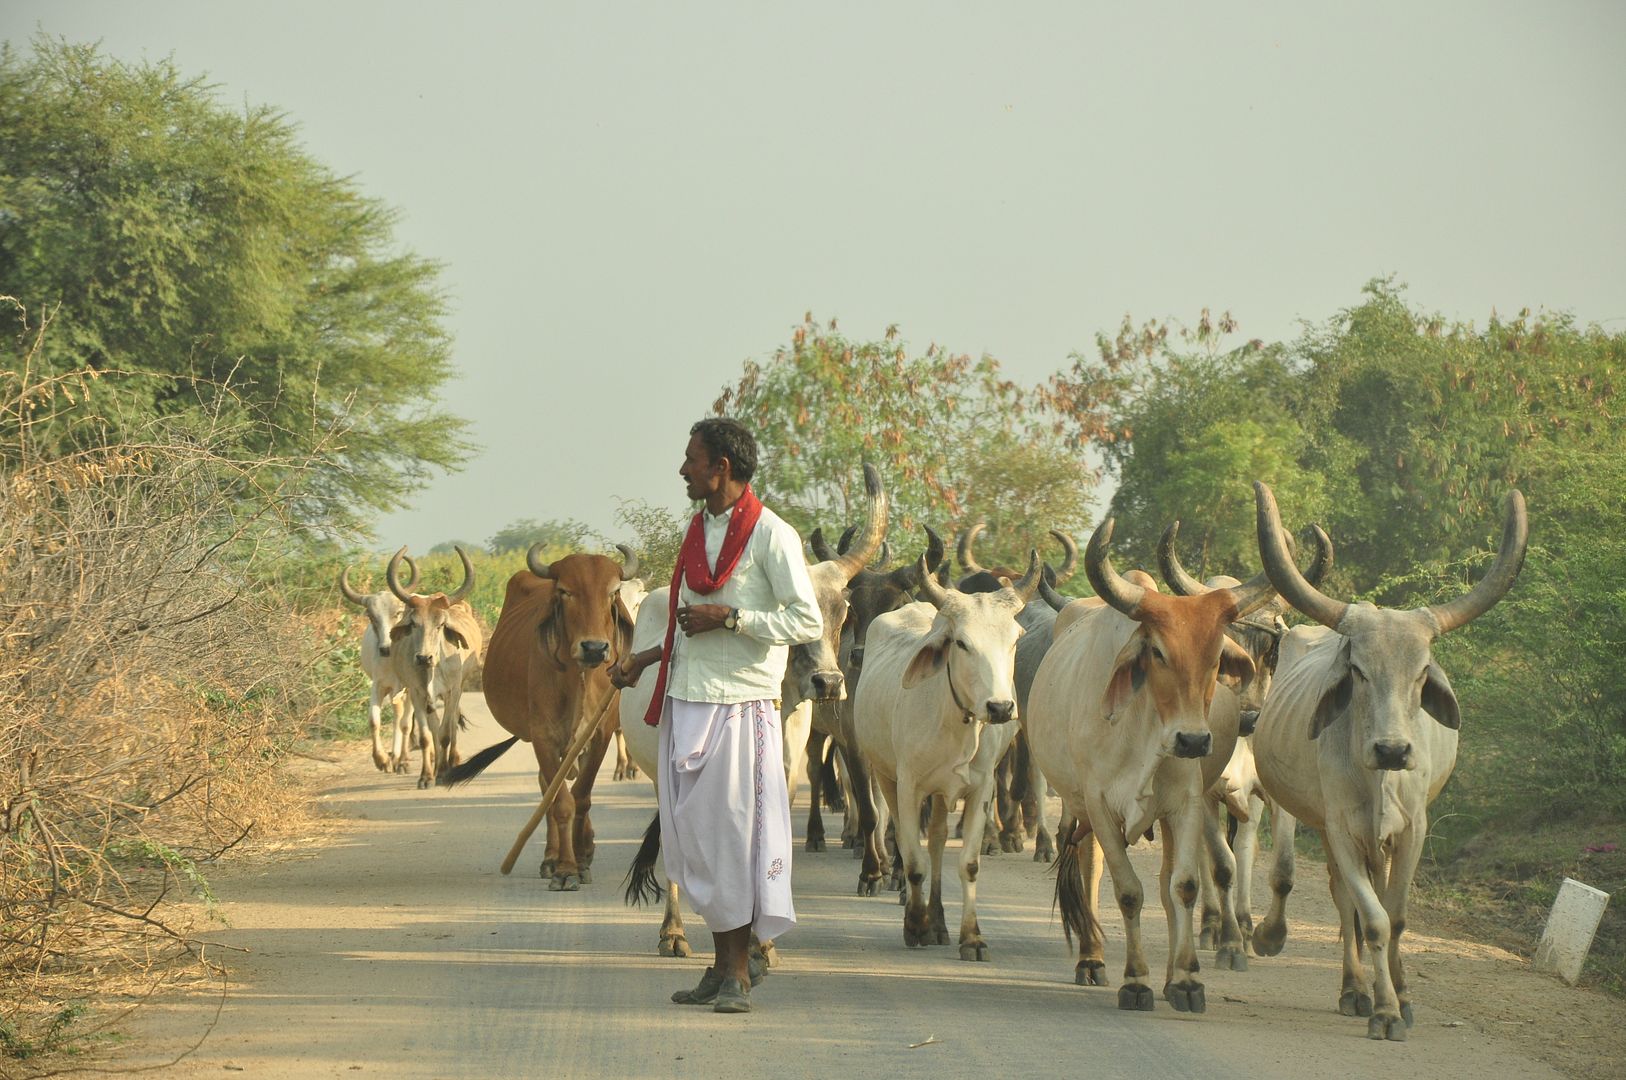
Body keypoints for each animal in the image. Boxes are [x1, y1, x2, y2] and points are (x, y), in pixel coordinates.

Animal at [448, 543, 643, 891]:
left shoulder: (601, 733)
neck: (579, 678)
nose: (595, 648)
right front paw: (565, 868)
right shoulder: (543, 735)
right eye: (565, 591)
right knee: (547, 788)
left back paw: (586, 848)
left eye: (612, 592)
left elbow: (582, 797)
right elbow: (561, 802)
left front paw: (581, 859)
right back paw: (551, 858)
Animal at [845, 553, 1034, 956]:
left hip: (943, 794)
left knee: (935, 841)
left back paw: (939, 923)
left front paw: (971, 936)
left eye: (1014, 640)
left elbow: (968, 863)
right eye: (960, 642)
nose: (1000, 707)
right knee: (905, 839)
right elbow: (913, 858)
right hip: (885, 775)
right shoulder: (909, 786)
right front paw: (915, 924)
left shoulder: (980, 789)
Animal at [1242, 481, 1521, 1040]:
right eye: (1358, 670)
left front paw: (1404, 999)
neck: (1379, 781)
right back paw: (1354, 989)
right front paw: (1385, 1010)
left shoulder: (1414, 829)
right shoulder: (1341, 829)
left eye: (1422, 673)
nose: (1393, 750)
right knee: (1344, 900)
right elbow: (1370, 917)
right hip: (1322, 825)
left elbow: (1398, 917)